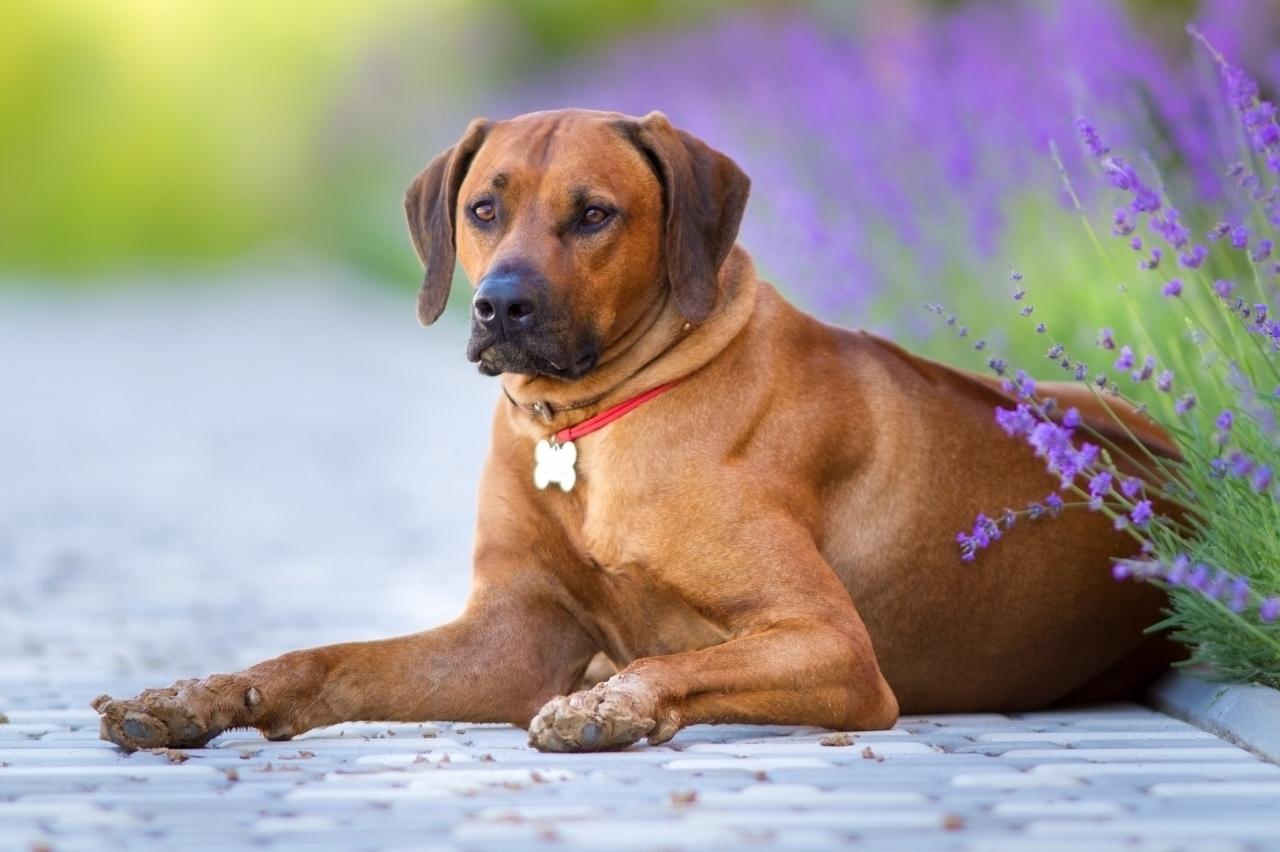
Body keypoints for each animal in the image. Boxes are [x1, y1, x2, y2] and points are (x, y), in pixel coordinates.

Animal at [94, 106, 1182, 752]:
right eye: (483, 208)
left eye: (594, 214)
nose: (500, 306)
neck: (589, 426)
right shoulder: (511, 633)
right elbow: (323, 661)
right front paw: (199, 696)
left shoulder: (832, 646)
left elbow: (681, 659)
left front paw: (609, 704)